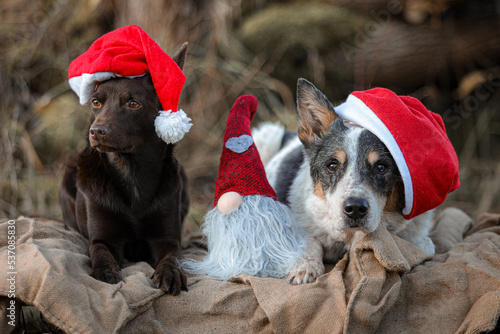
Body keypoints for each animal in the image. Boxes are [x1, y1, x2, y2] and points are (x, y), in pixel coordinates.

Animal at [58, 44, 190, 294]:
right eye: (96, 102)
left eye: (133, 104)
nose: (96, 131)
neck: (132, 172)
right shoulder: (103, 239)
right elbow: (100, 252)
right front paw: (105, 272)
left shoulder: (167, 240)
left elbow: (173, 257)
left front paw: (170, 273)